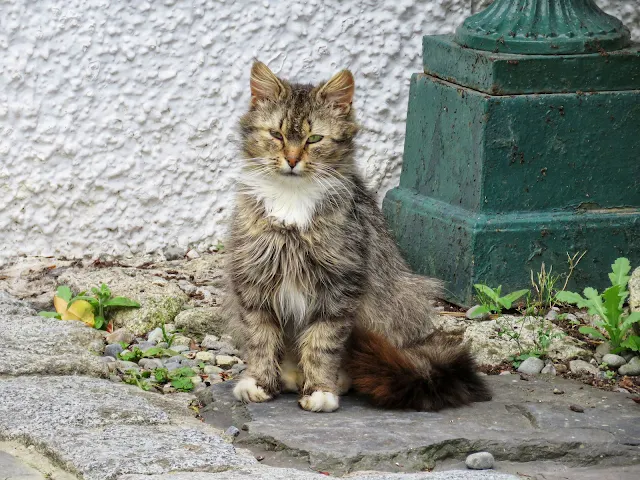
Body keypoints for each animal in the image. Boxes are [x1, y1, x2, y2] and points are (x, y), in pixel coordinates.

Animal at [225, 60, 490, 412]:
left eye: (314, 139)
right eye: (276, 135)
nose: (292, 160)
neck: (292, 200)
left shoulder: (339, 287)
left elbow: (322, 344)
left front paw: (320, 390)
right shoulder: (254, 281)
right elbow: (261, 339)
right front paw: (259, 382)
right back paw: (291, 375)